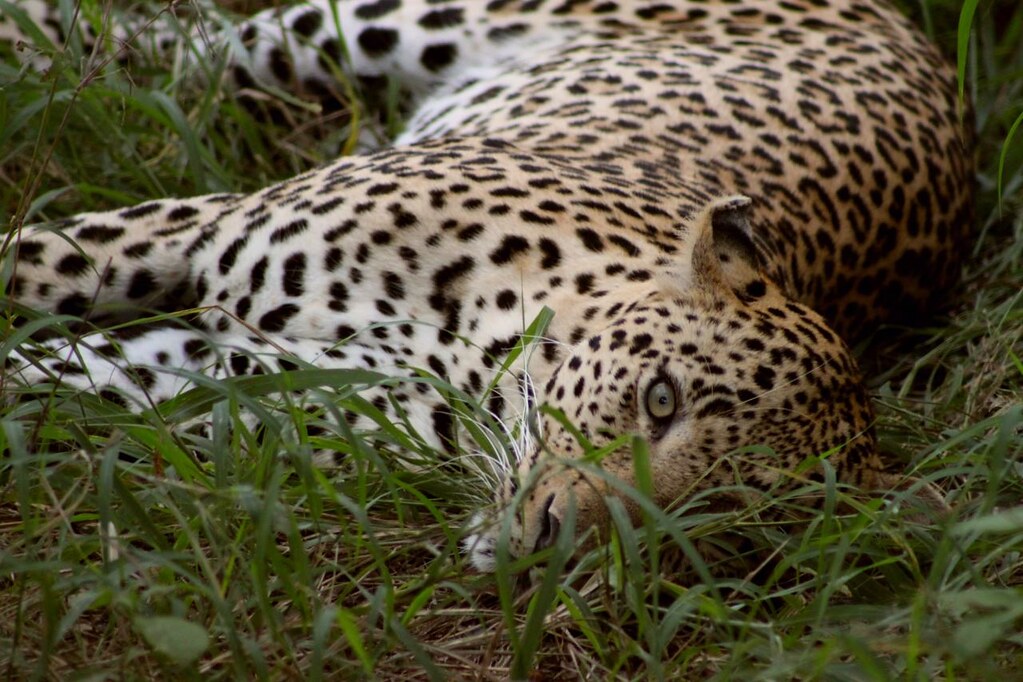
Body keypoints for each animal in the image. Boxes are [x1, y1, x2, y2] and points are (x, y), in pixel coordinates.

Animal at [1, 0, 974, 571]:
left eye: (724, 512)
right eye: (660, 399)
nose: (550, 541)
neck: (484, 354)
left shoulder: (225, 378)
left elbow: (45, 379)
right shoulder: (198, 236)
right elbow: (39, 261)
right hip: (401, 22)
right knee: (200, 40)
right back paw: (37, 41)